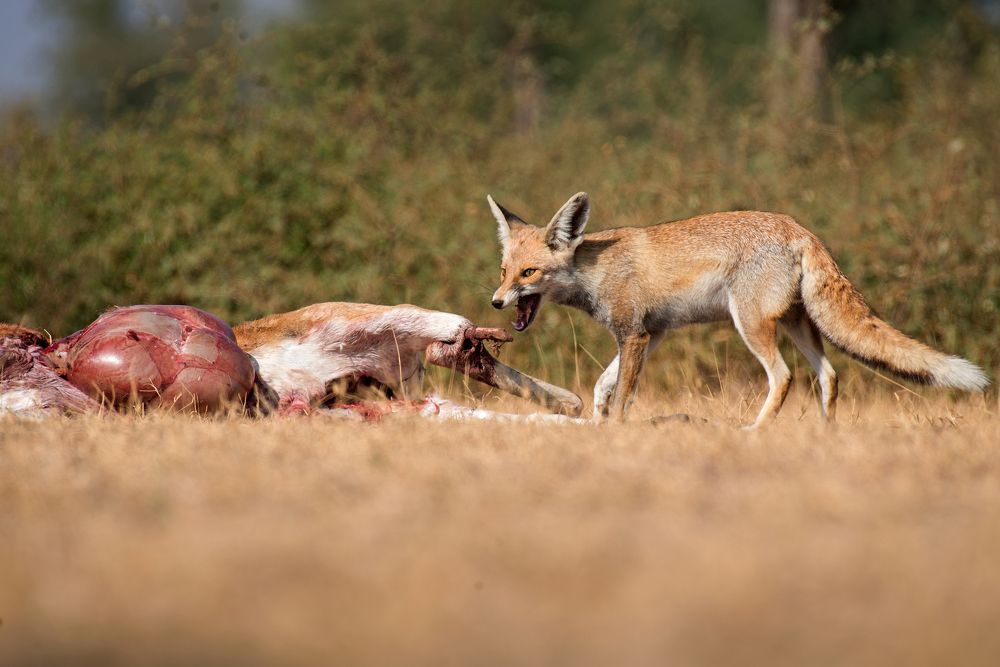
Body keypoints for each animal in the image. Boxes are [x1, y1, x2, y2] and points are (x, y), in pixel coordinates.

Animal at [486, 192, 989, 426]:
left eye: (529, 273)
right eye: (504, 271)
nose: (495, 302)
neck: (596, 270)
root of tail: (800, 228)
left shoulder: (635, 335)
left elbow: (624, 395)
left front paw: (616, 432)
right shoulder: (653, 334)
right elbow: (600, 386)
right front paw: (596, 420)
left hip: (750, 323)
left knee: (783, 378)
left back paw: (754, 432)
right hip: (797, 325)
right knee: (829, 376)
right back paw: (826, 436)